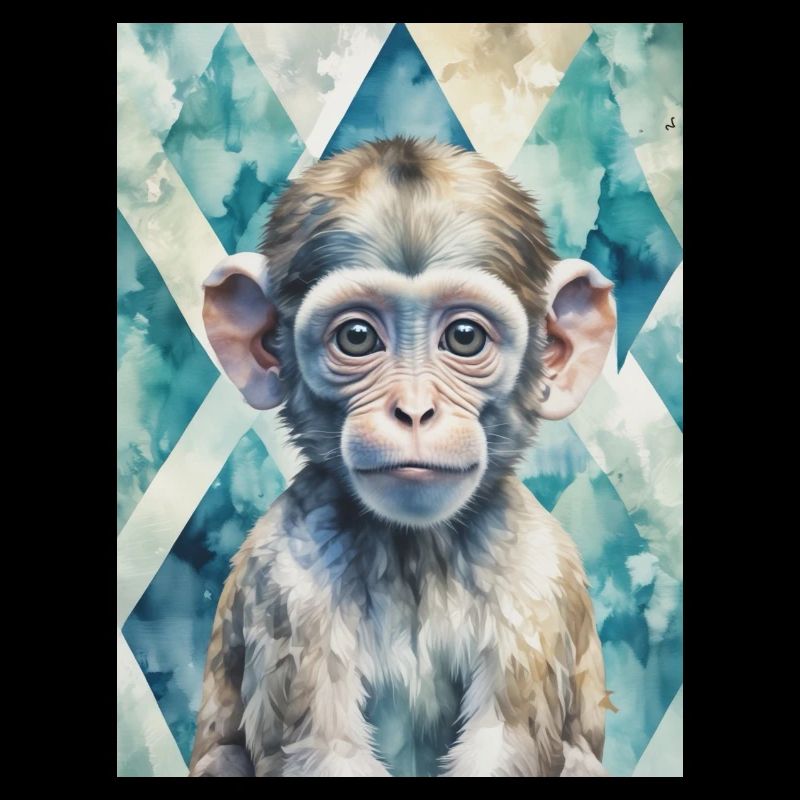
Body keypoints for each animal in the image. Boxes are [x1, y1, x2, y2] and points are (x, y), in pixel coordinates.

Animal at [189, 137, 616, 777]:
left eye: (464, 337)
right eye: (357, 337)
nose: (414, 411)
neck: (415, 549)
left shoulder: (537, 577)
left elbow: (508, 741)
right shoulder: (287, 577)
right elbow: (320, 749)